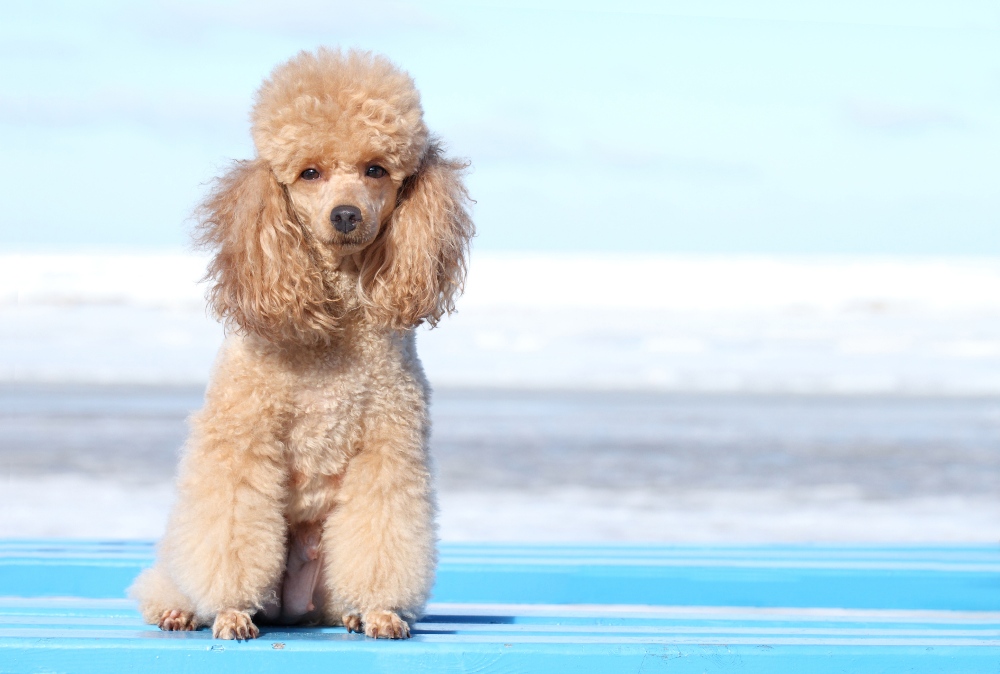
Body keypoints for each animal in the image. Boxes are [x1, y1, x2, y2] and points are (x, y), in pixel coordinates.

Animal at [131, 48, 474, 640]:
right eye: (309, 173)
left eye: (376, 169)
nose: (346, 215)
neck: (334, 318)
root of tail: (289, 610)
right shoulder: (242, 440)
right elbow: (229, 532)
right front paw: (230, 612)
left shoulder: (388, 448)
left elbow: (382, 533)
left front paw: (381, 610)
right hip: (182, 558)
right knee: (171, 577)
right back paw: (182, 610)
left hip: (325, 585)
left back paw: (354, 614)